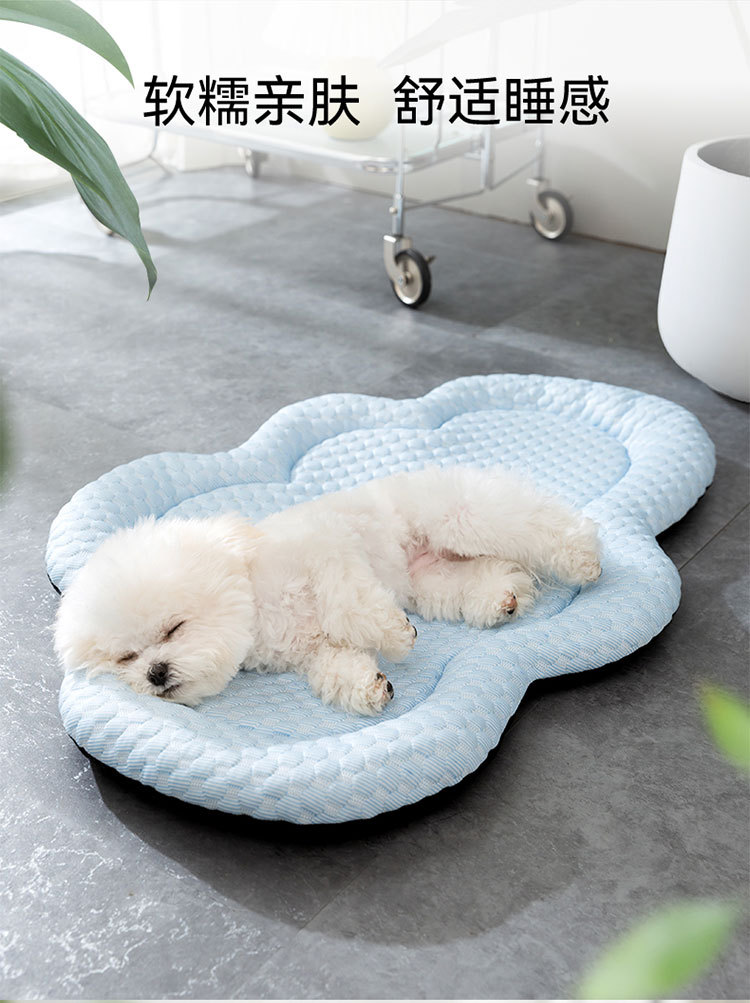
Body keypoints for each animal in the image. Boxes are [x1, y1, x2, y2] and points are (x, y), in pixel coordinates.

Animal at [54, 466, 601, 715]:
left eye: (174, 628)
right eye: (126, 658)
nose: (156, 672)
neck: (260, 607)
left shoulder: (330, 553)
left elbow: (350, 608)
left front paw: (396, 635)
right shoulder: (311, 652)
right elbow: (336, 668)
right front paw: (371, 686)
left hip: (460, 518)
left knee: (536, 524)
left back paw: (582, 556)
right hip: (432, 580)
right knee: (489, 577)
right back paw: (503, 597)